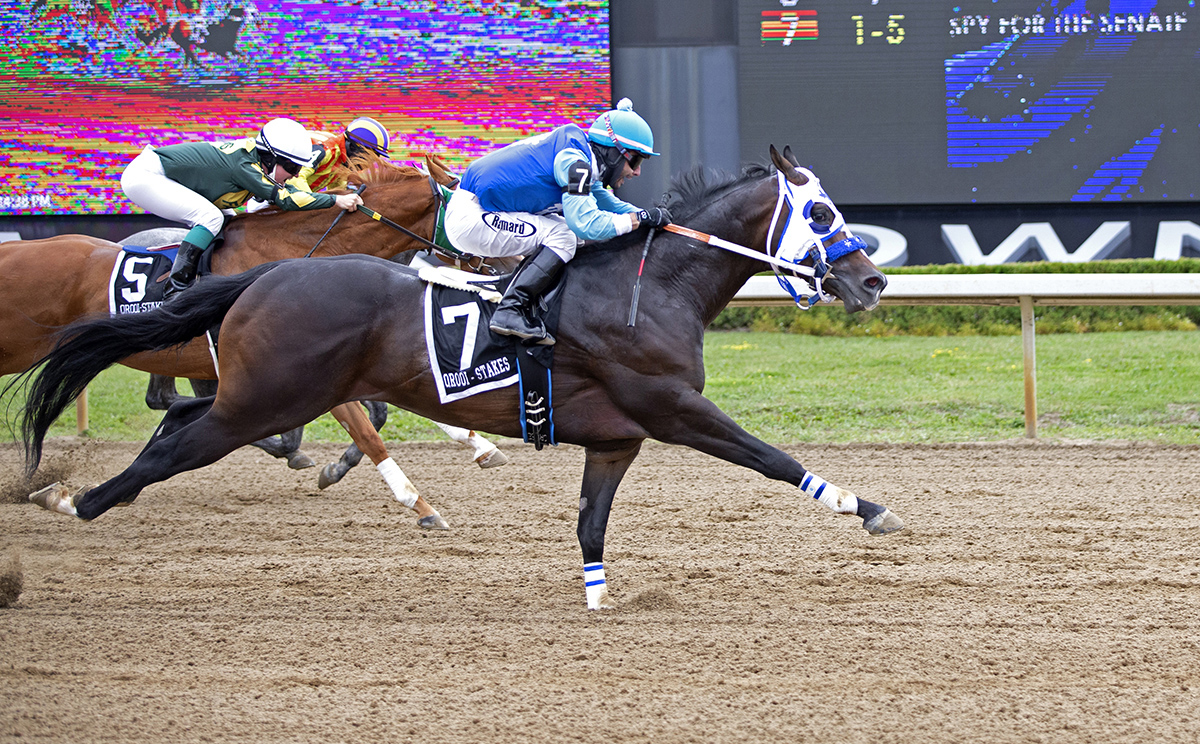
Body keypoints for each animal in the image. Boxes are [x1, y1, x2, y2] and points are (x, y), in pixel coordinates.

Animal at [0, 154, 504, 528]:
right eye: (481, 218)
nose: (502, 271)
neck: (302, 249)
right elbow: (366, 427)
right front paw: (416, 501)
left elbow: (389, 414)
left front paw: (479, 445)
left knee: (167, 401)